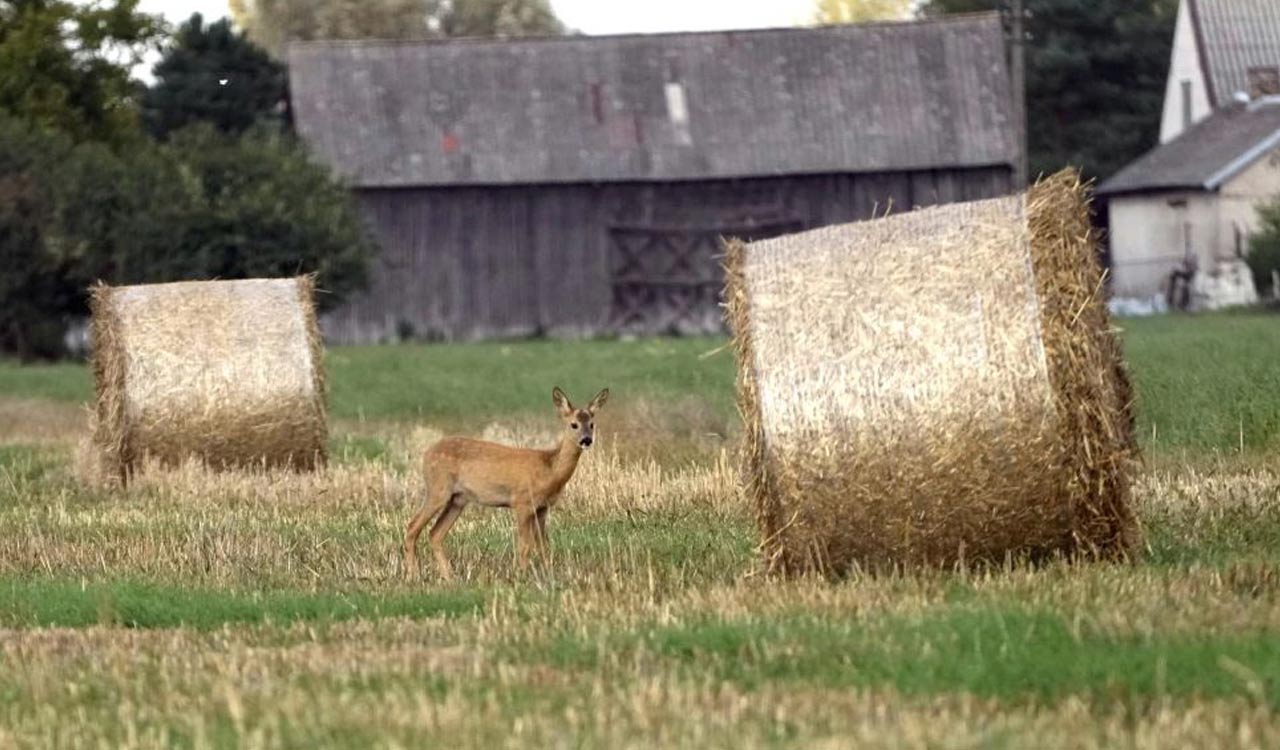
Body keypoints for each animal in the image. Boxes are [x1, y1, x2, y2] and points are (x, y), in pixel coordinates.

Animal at [409, 386, 609, 578]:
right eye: (573, 424)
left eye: (592, 424)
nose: (586, 440)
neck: (550, 469)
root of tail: (426, 454)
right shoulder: (522, 502)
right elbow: (524, 546)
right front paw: (521, 575)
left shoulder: (542, 507)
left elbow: (543, 546)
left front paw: (548, 575)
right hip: (438, 489)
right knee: (412, 527)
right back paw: (414, 575)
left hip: (457, 499)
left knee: (435, 534)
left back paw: (449, 578)